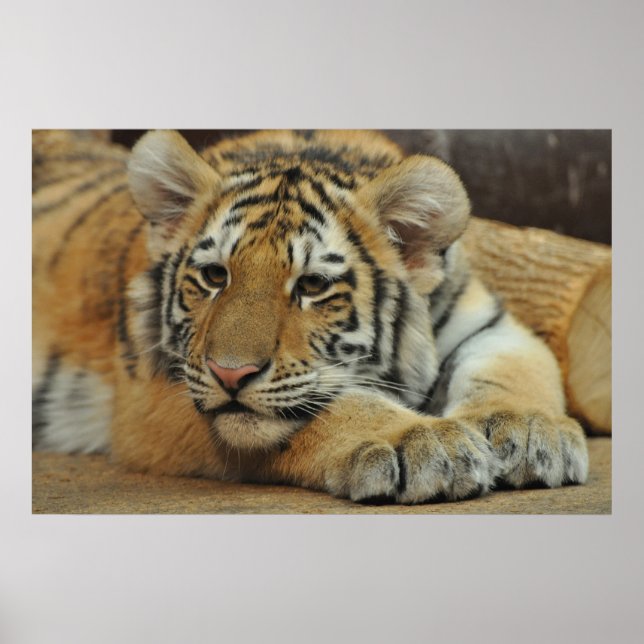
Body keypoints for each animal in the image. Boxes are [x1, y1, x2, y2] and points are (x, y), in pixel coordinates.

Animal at [32, 129, 589, 504]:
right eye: (214, 276)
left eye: (313, 286)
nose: (230, 374)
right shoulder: (155, 390)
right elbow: (337, 406)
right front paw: (428, 444)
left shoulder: (487, 319)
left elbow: (512, 367)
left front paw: (531, 432)